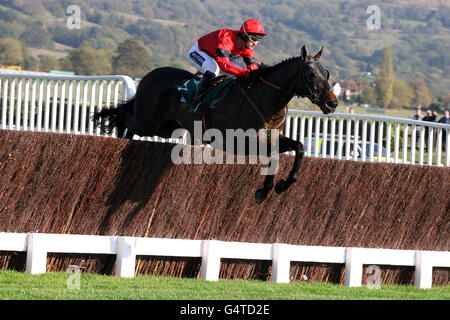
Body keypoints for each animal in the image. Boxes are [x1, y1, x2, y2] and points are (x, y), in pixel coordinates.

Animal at [92, 46, 338, 204]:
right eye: (311, 74)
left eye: (326, 73)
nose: (332, 103)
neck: (267, 99)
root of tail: (149, 75)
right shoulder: (240, 142)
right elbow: (274, 156)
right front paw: (265, 190)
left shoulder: (271, 138)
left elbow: (299, 147)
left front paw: (281, 185)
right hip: (148, 121)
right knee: (124, 117)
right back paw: (120, 140)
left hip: (166, 127)